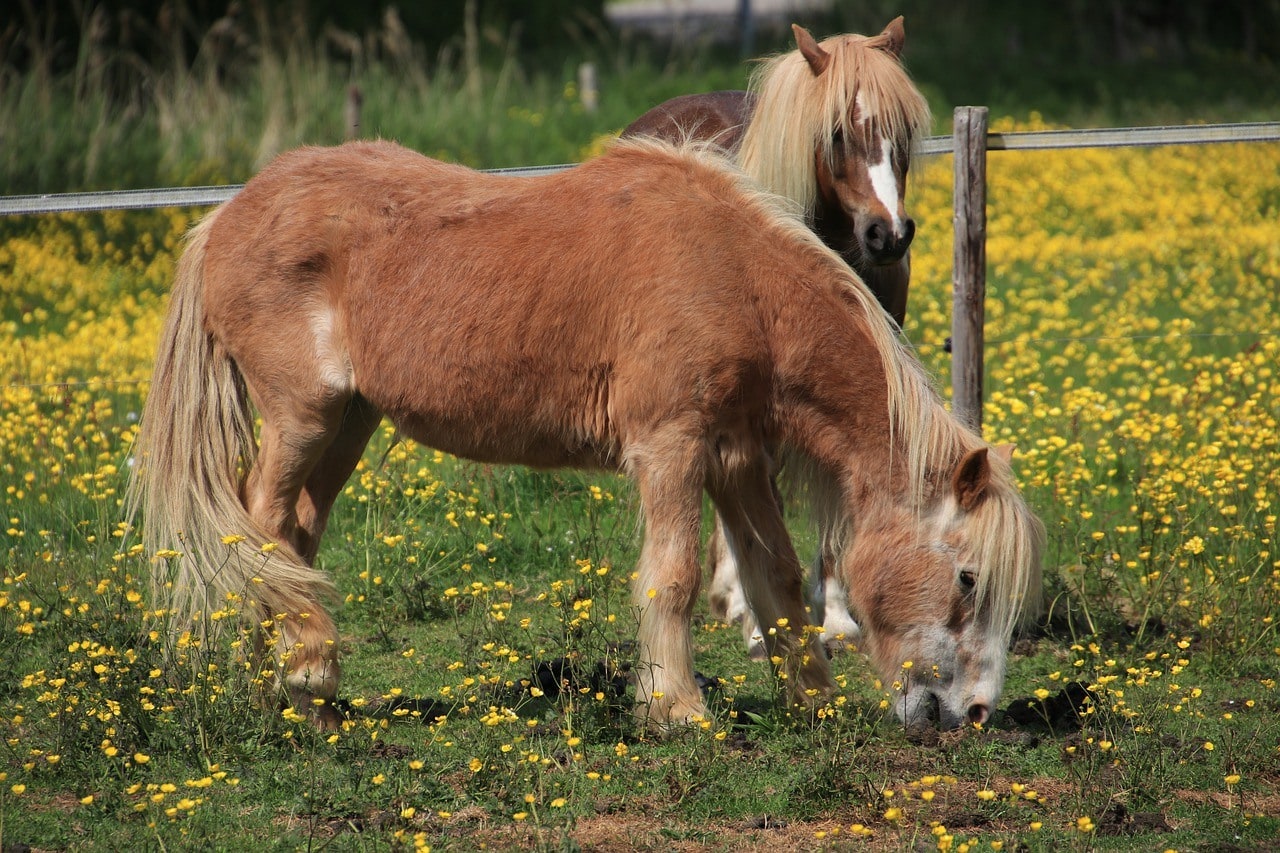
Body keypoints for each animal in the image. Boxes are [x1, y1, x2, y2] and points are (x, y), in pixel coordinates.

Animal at [127, 137, 1042, 732]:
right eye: (968, 577)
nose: (974, 711)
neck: (734, 276)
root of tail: (226, 216)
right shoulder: (672, 447)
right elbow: (673, 578)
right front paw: (679, 711)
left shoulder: (735, 457)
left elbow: (778, 580)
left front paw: (809, 700)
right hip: (303, 416)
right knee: (261, 525)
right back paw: (294, 676)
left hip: (347, 424)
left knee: (294, 538)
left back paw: (300, 690)